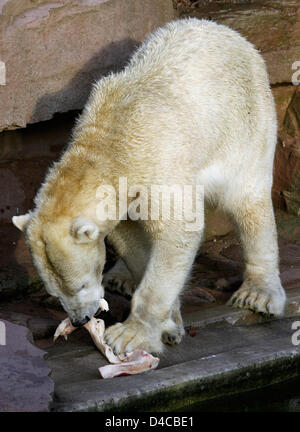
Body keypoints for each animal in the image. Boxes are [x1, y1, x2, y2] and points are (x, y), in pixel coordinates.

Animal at [13, 17, 286, 354]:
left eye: (80, 284)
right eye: (54, 292)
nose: (80, 320)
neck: (112, 143)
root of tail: (230, 33)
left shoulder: (161, 164)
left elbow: (178, 231)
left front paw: (129, 336)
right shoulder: (126, 194)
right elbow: (132, 239)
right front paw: (169, 323)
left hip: (245, 125)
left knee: (248, 202)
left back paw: (258, 295)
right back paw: (122, 279)